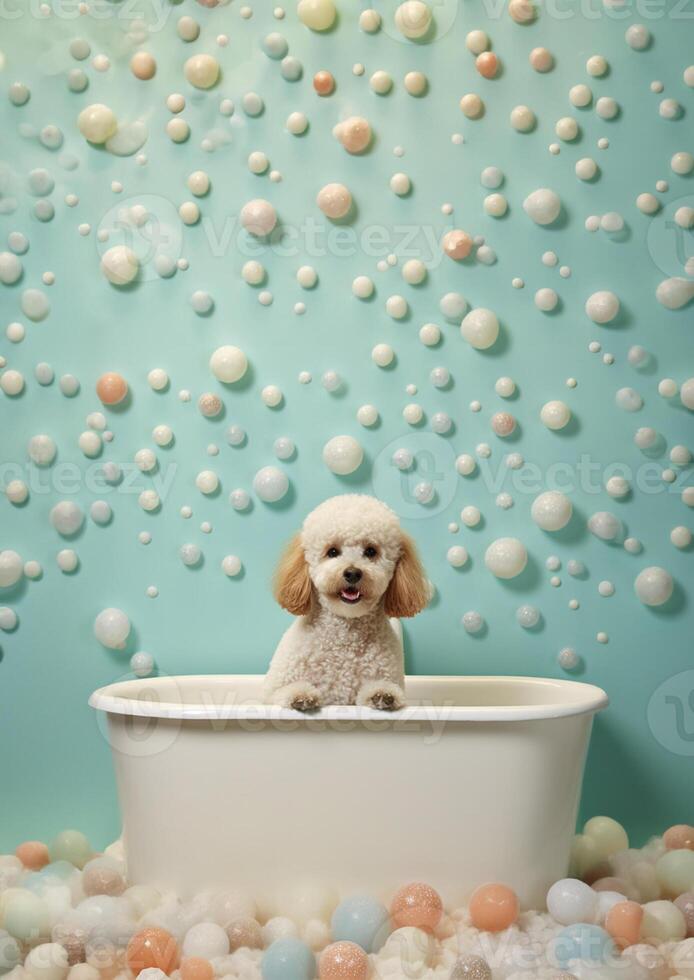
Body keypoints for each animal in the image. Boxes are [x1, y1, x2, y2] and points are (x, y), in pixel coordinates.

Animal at [266, 494, 430, 708]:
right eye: (332, 552)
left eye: (371, 551)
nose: (352, 573)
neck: (345, 636)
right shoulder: (274, 690)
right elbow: (282, 693)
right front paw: (300, 695)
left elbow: (383, 687)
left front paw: (382, 695)